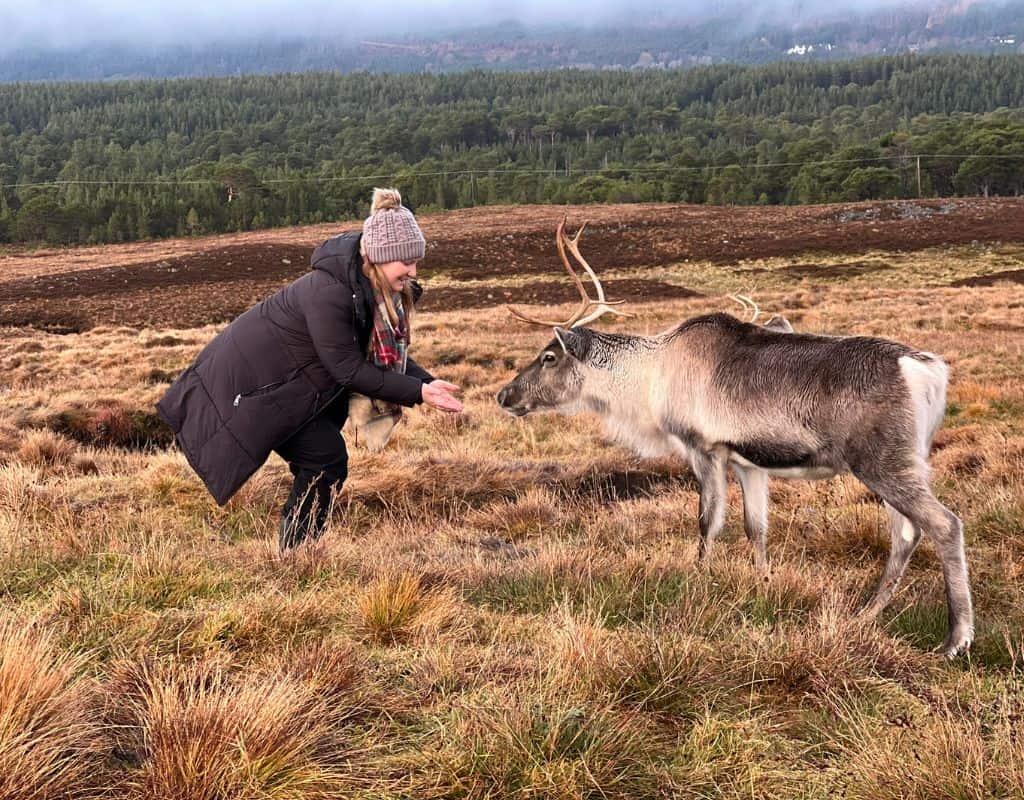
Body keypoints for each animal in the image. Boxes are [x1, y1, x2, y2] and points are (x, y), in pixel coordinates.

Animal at [496, 218, 973, 658]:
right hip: (902, 461)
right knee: (906, 534)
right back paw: (866, 615)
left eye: (549, 356)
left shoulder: (703, 448)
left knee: (943, 524)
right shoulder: (748, 461)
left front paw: (696, 580)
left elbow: (708, 522)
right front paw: (764, 585)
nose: (504, 394)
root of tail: (930, 371)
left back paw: (956, 638)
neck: (649, 380)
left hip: (882, 462)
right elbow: (755, 528)